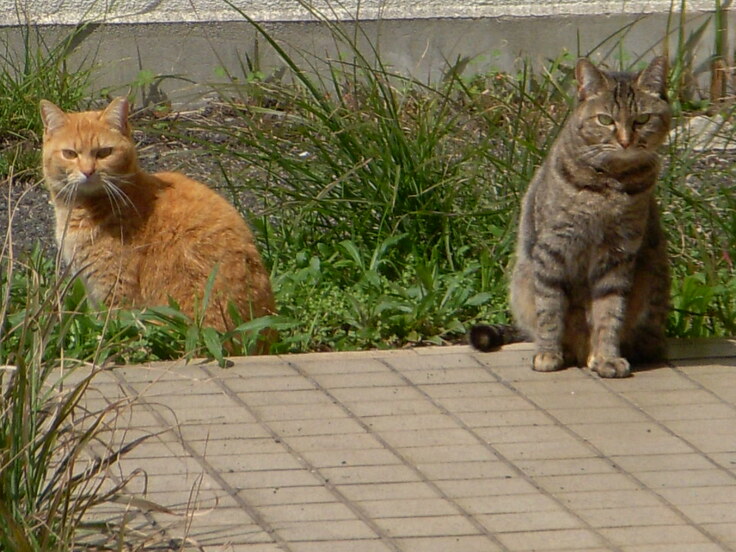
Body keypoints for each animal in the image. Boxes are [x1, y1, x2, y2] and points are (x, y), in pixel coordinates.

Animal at [472, 56, 672, 378]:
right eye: (605, 120)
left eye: (642, 119)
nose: (626, 141)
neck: (609, 186)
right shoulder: (553, 249)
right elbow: (550, 309)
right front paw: (549, 353)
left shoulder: (618, 254)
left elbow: (610, 312)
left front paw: (605, 357)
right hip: (522, 277)